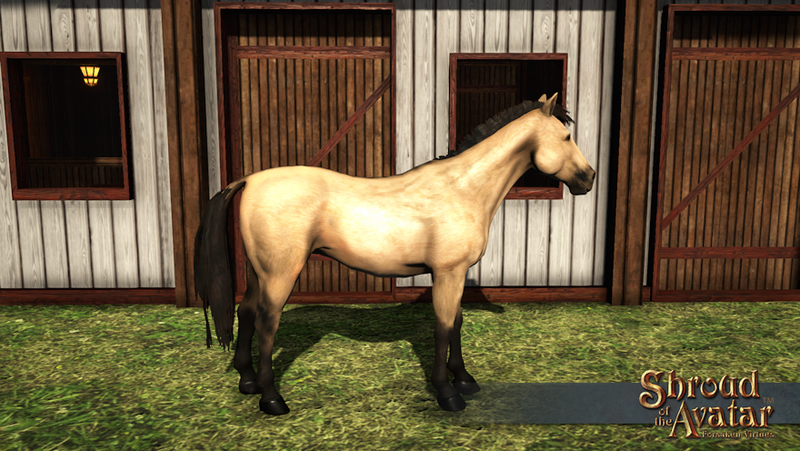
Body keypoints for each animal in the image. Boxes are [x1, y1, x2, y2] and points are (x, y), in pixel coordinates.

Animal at [194, 93, 596, 416]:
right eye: (566, 137)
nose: (589, 178)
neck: (463, 188)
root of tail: (249, 179)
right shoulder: (447, 272)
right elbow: (443, 327)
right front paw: (448, 393)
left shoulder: (454, 274)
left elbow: (457, 324)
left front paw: (465, 379)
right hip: (281, 273)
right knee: (267, 323)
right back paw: (271, 399)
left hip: (260, 272)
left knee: (245, 312)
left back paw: (247, 381)